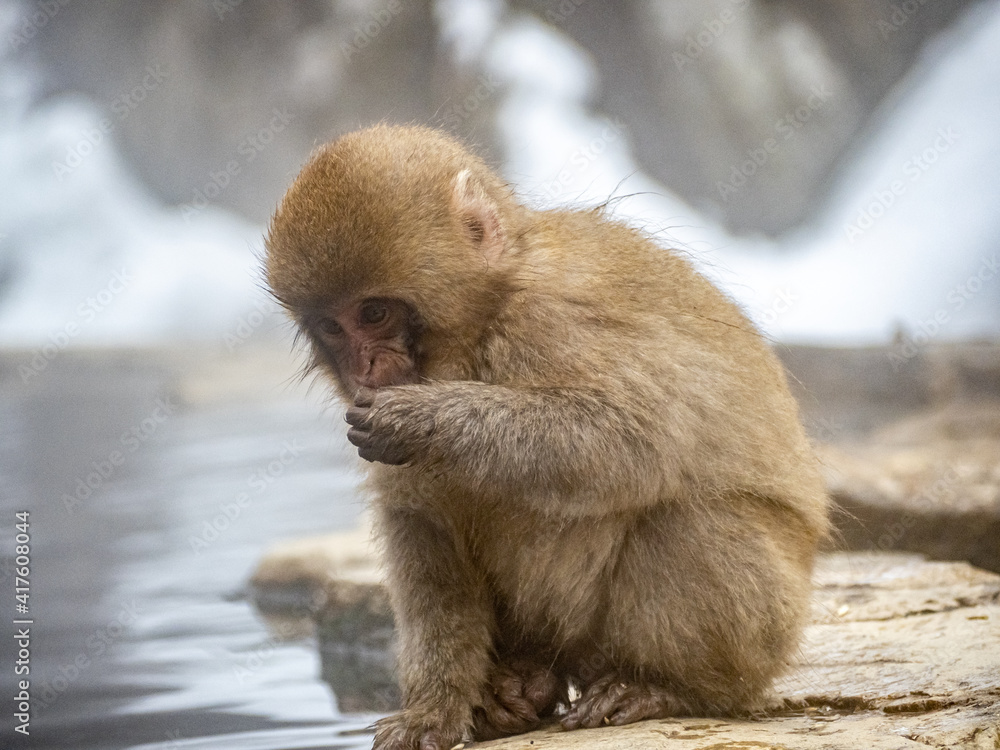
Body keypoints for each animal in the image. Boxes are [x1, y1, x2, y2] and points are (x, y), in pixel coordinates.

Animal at [265, 124, 829, 750]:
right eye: (332, 327)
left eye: (374, 313)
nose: (362, 368)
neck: (485, 320)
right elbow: (424, 527)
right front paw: (435, 708)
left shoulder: (549, 320)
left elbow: (631, 439)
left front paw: (426, 418)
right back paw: (520, 686)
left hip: (769, 624)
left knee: (685, 520)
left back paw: (670, 687)